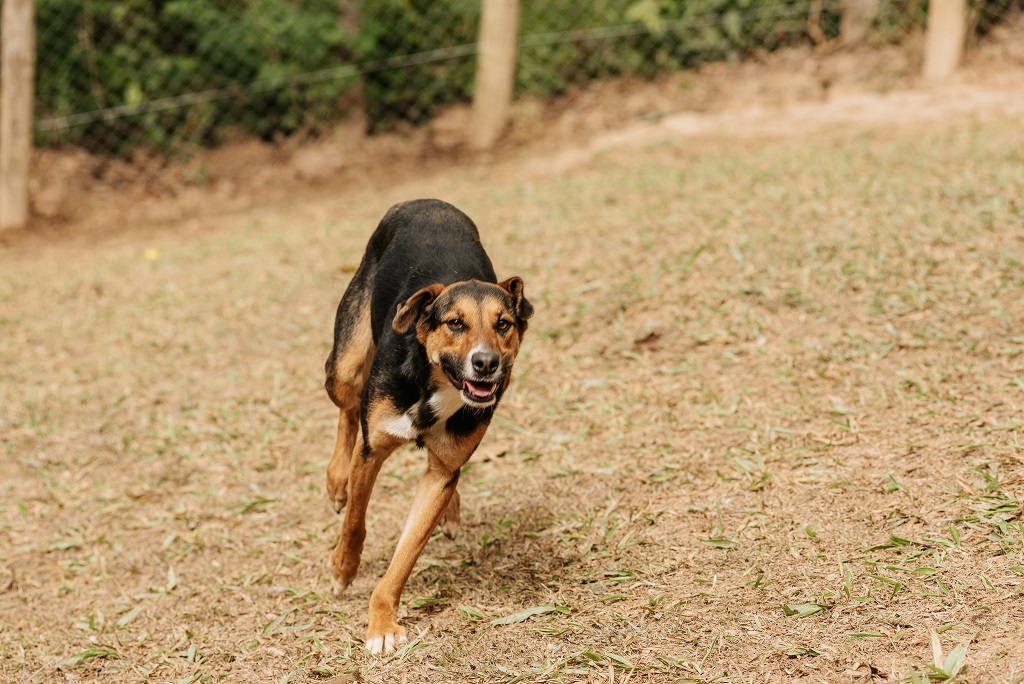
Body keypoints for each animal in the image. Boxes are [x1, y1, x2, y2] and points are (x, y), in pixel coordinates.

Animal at [323, 198, 536, 655]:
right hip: (345, 366)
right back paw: (336, 481)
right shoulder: (372, 450)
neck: (432, 380)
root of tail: (425, 201)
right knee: (347, 410)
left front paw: (382, 623)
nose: (486, 363)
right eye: (455, 323)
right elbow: (356, 521)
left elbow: (405, 556)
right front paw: (343, 569)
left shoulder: (441, 473)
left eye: (503, 324)